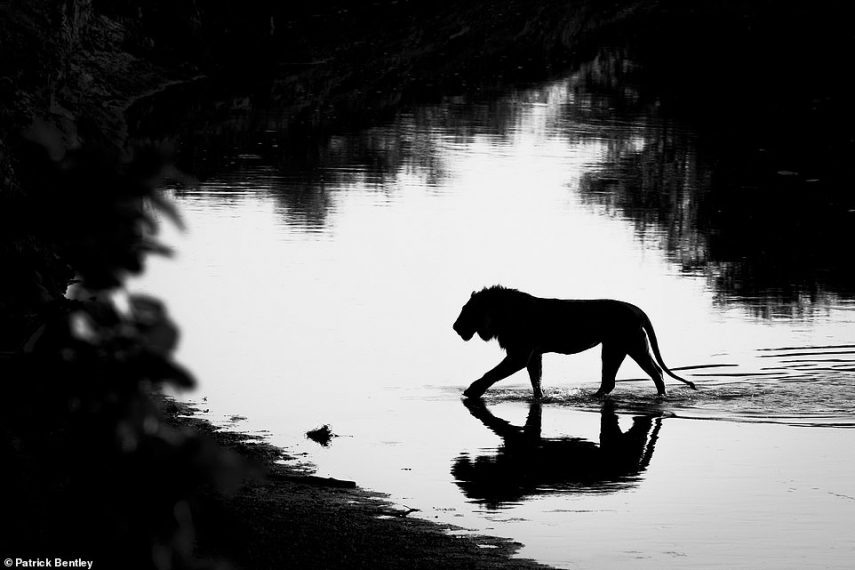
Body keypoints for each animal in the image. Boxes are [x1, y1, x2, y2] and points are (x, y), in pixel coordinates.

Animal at [454, 284, 696, 400]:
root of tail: (637, 310)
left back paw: (661, 397)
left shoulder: (520, 354)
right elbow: (536, 379)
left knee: (657, 372)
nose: (455, 327)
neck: (503, 315)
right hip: (614, 348)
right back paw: (593, 396)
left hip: (631, 345)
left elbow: (492, 373)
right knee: (610, 382)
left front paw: (472, 391)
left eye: (466, 311)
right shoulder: (533, 354)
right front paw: (541, 397)